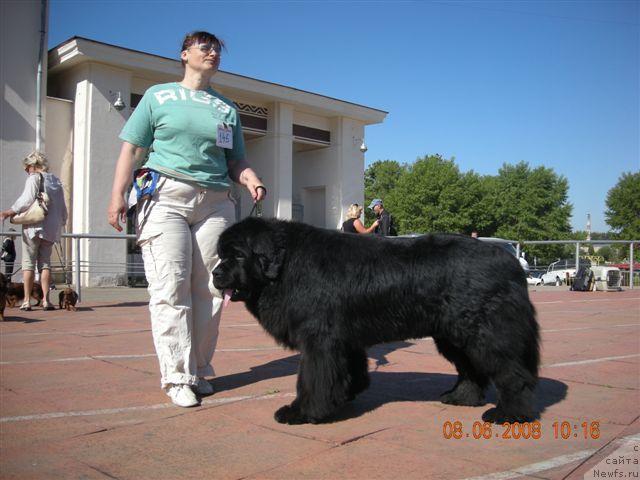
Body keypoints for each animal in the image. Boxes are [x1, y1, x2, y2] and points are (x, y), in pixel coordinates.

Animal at [212, 218, 536, 424]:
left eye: (237, 255)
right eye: (220, 255)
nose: (215, 273)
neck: (286, 265)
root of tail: (511, 263)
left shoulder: (319, 339)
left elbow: (313, 379)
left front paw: (303, 412)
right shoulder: (343, 340)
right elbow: (350, 371)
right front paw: (344, 397)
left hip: (486, 333)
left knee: (513, 373)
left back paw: (508, 414)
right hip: (453, 336)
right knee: (471, 370)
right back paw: (461, 397)